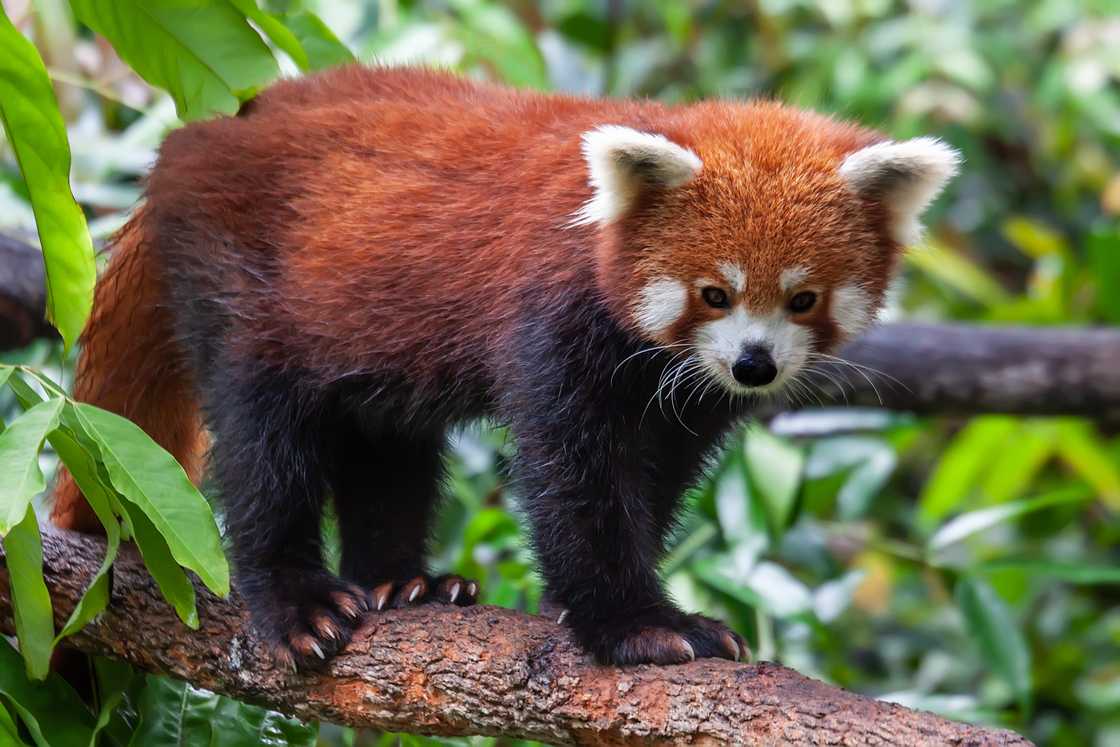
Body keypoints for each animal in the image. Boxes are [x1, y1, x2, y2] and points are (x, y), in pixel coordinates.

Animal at [52, 67, 958, 667]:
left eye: (802, 299)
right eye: (714, 291)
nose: (754, 365)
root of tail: (191, 140)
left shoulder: (680, 390)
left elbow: (656, 473)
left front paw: (584, 602)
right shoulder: (551, 322)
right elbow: (573, 475)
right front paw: (635, 622)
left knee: (384, 443)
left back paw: (400, 581)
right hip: (244, 278)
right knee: (263, 441)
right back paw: (301, 599)